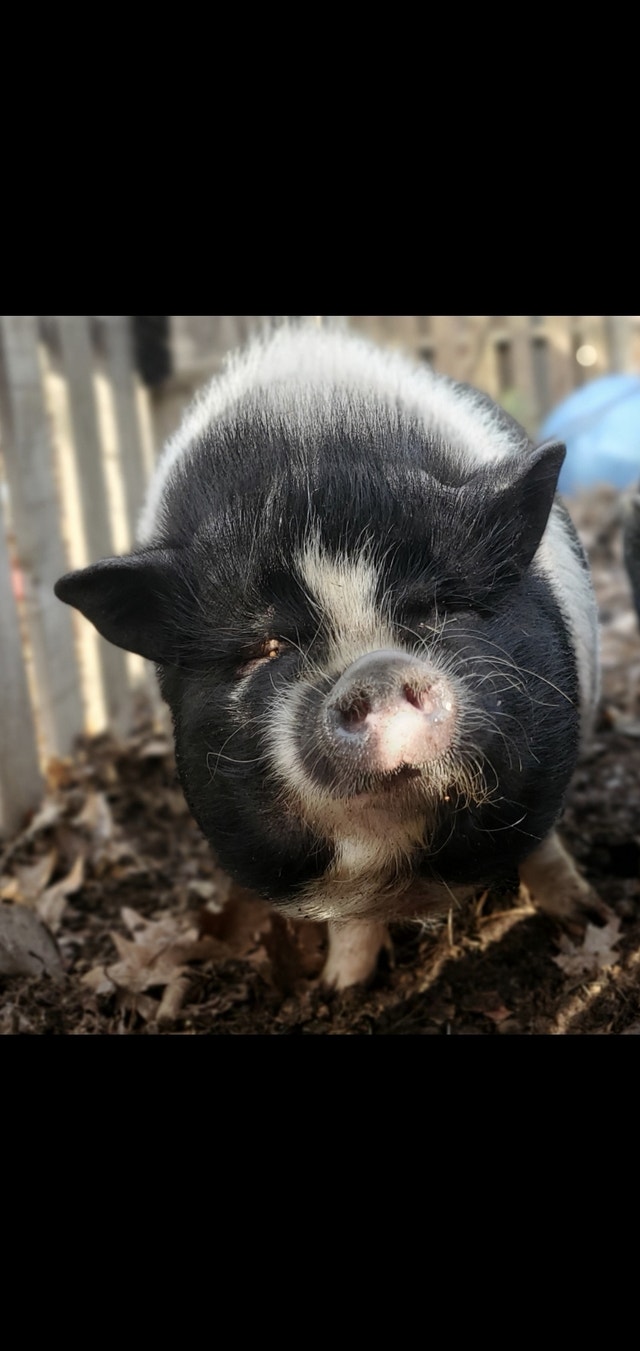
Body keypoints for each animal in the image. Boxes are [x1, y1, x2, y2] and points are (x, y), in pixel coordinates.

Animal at [55, 320, 606, 989]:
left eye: (436, 607)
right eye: (265, 647)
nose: (378, 670)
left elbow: (544, 845)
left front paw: (589, 921)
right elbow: (350, 920)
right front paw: (340, 989)